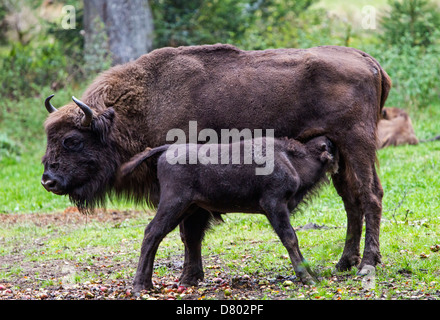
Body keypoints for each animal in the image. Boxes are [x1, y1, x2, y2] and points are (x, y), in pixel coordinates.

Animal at [119, 136, 336, 292]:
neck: (291, 159)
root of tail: (166, 150)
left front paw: (312, 275)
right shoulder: (274, 205)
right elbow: (290, 238)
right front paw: (307, 278)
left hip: (187, 207)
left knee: (163, 236)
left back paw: (149, 284)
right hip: (173, 204)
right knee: (151, 233)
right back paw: (139, 287)